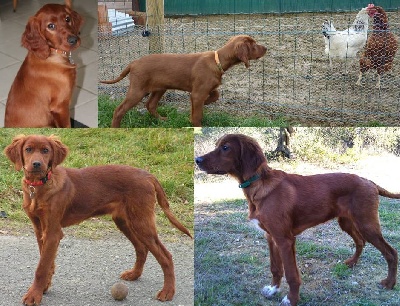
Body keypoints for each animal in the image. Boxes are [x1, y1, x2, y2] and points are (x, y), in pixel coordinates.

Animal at [4, 135, 192, 304]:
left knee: (166, 256)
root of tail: (148, 175)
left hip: (141, 221)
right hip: (124, 221)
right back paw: (134, 274)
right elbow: (47, 262)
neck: (39, 186)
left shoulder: (53, 232)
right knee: (141, 248)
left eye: (45, 150)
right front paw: (43, 288)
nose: (37, 164)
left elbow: (41, 267)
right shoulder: (39, 229)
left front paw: (33, 295)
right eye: (28, 149)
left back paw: (168, 292)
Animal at [99, 35, 268, 126]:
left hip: (160, 88)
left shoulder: (205, 89)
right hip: (137, 90)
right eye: (253, 45)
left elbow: (215, 95)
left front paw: (196, 110)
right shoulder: (198, 93)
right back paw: (115, 127)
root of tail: (133, 63)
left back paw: (162, 120)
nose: (266, 48)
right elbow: (198, 113)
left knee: (150, 105)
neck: (217, 60)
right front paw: (196, 122)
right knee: (119, 110)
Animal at [196, 134, 400, 306]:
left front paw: (291, 299)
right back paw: (351, 263)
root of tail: (370, 182)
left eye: (225, 147)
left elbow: (292, 275)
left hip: (367, 224)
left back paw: (389, 283)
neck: (258, 185)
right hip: (347, 222)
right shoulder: (271, 237)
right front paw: (273, 289)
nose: (197, 160)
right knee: (360, 241)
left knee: (391, 252)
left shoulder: (285, 240)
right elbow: (275, 268)